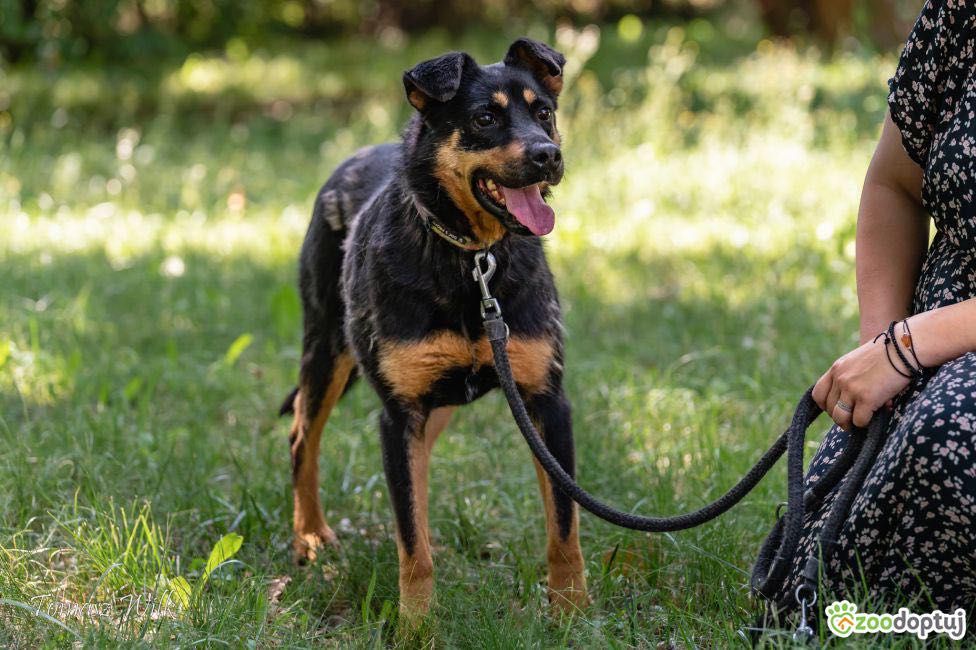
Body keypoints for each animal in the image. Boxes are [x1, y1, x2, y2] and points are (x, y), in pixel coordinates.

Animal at [282, 38, 588, 616]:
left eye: (544, 113)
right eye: (485, 117)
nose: (548, 156)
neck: (473, 261)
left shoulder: (546, 401)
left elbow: (564, 526)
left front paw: (571, 615)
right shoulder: (399, 416)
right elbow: (410, 539)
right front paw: (417, 625)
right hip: (326, 349)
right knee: (301, 438)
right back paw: (309, 535)